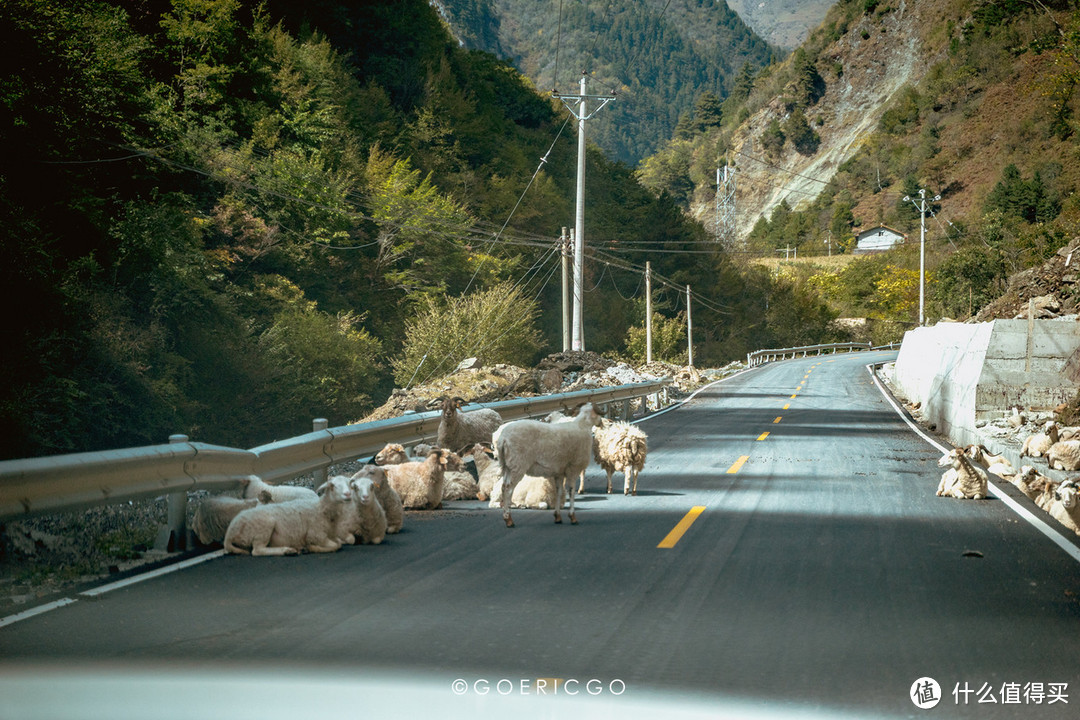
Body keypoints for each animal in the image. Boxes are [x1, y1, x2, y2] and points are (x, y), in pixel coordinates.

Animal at [224, 474, 354, 557]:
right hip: (264, 526)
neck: (321, 508)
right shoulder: (316, 535)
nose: (348, 494)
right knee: (257, 550)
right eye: (332, 486)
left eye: (349, 483)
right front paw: (312, 548)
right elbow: (336, 546)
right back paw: (287, 550)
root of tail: (230, 531)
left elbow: (342, 542)